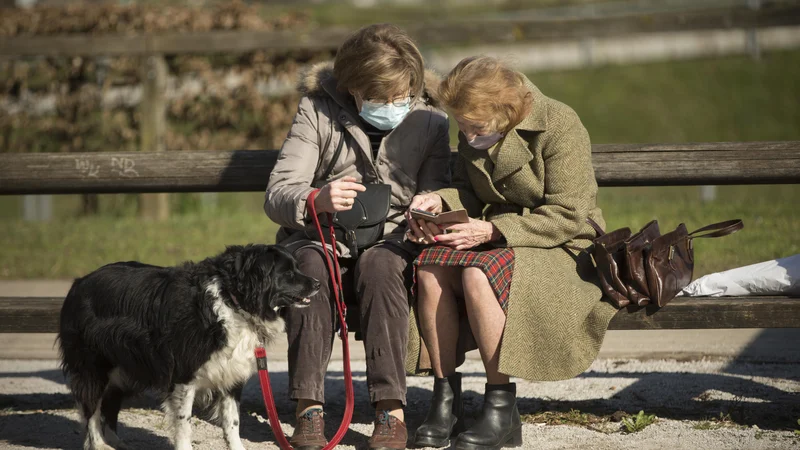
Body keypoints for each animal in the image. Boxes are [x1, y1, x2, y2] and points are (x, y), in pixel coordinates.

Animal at [57, 244, 318, 448]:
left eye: (297, 268)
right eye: (288, 273)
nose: (317, 283)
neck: (233, 301)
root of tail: (79, 283)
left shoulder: (231, 374)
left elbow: (232, 422)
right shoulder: (183, 375)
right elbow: (184, 422)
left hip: (125, 368)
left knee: (110, 402)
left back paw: (114, 442)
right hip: (93, 365)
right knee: (91, 408)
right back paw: (99, 444)